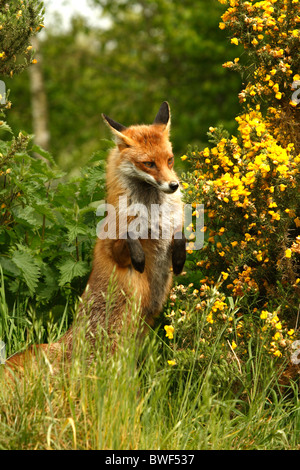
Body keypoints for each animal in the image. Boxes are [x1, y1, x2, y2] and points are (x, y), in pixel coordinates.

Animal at [4, 102, 186, 374]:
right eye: (149, 164)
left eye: (170, 160)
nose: (173, 185)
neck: (152, 209)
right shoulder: (115, 250)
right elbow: (128, 236)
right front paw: (139, 255)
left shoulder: (173, 227)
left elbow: (181, 235)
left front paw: (180, 257)